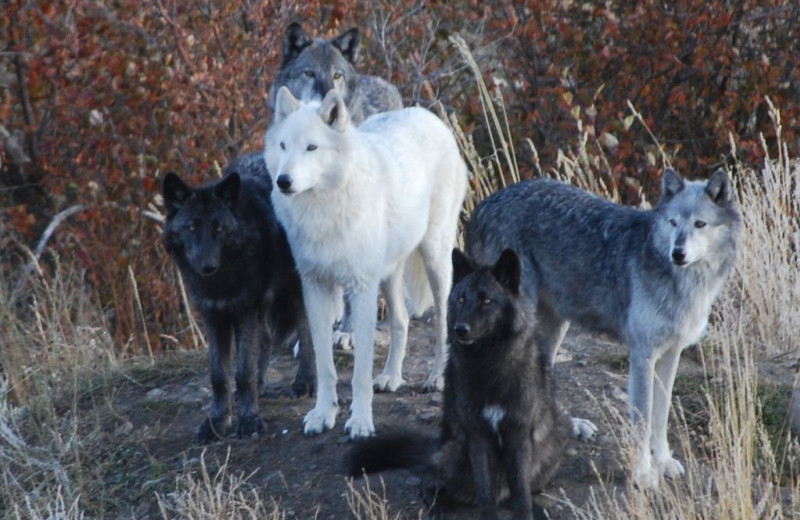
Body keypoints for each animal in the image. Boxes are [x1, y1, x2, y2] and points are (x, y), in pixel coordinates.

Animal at [161, 171, 314, 442]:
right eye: (192, 227)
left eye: (219, 228)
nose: (208, 266)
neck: (220, 283)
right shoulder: (213, 315)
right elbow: (219, 376)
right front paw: (216, 422)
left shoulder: (245, 309)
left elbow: (243, 372)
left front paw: (249, 419)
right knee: (265, 339)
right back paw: (261, 384)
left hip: (295, 287)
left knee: (307, 331)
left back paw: (305, 382)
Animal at [268, 87, 468, 436]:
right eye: (283, 146)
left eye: (311, 147)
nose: (283, 181)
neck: (323, 211)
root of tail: (427, 115)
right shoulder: (315, 287)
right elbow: (324, 364)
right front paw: (323, 414)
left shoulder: (361, 288)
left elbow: (360, 371)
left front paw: (360, 421)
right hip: (388, 275)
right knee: (401, 321)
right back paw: (391, 378)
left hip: (435, 260)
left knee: (443, 321)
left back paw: (436, 378)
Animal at [348, 249, 568, 520]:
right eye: (461, 299)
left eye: (487, 301)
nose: (460, 329)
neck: (489, 363)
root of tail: (436, 448)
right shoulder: (477, 437)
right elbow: (486, 494)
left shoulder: (518, 436)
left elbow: (522, 497)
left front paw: (527, 511)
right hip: (456, 453)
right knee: (431, 482)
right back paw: (439, 507)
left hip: (553, 440)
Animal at [466, 169, 740, 490]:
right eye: (673, 223)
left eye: (700, 224)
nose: (678, 253)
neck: (683, 283)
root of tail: (485, 204)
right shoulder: (642, 355)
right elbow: (643, 419)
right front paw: (643, 474)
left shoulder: (671, 354)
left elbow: (661, 417)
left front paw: (663, 463)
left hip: (553, 327)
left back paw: (567, 427)